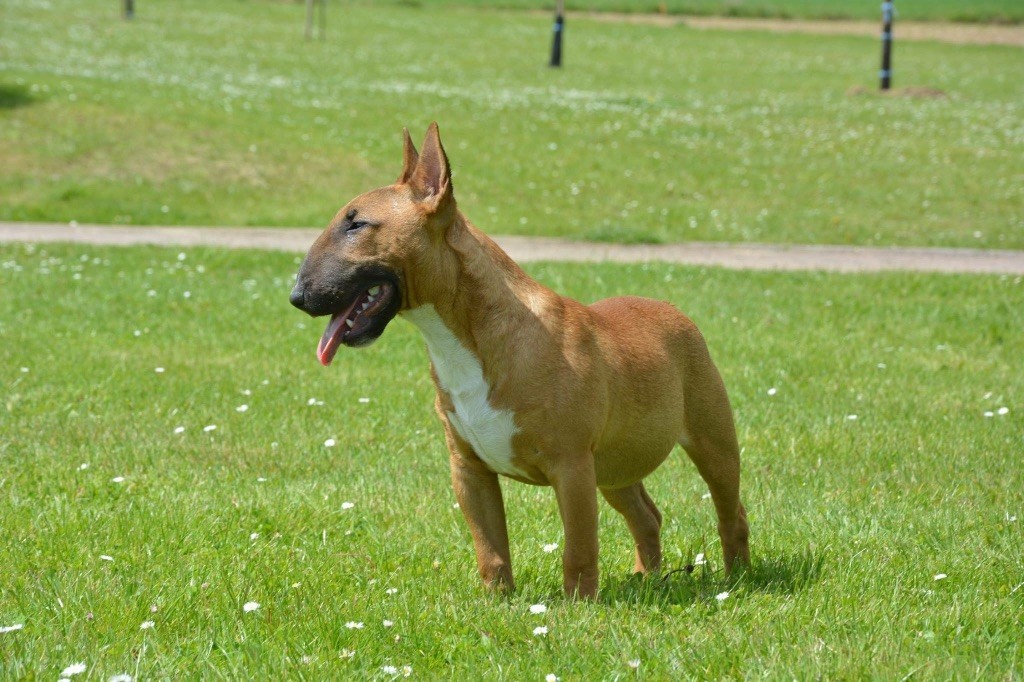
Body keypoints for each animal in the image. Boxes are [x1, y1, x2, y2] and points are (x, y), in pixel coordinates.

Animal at [292, 124, 749, 598]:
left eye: (357, 224)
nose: (297, 297)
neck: (467, 339)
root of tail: (673, 310)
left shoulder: (571, 467)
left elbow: (579, 547)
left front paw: (577, 605)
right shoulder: (469, 470)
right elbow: (490, 548)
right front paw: (496, 602)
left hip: (710, 443)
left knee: (731, 510)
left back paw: (738, 577)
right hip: (615, 462)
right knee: (646, 516)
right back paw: (646, 579)